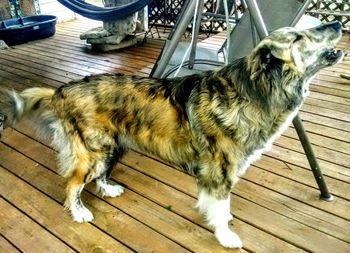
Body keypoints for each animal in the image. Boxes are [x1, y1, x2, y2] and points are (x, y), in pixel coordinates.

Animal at [0, 21, 344, 247]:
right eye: (299, 37)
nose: (338, 22)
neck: (253, 91)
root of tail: (61, 90)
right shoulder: (219, 174)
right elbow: (221, 210)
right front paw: (226, 237)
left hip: (114, 145)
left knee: (98, 176)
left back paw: (108, 189)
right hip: (93, 151)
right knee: (72, 185)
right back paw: (80, 213)